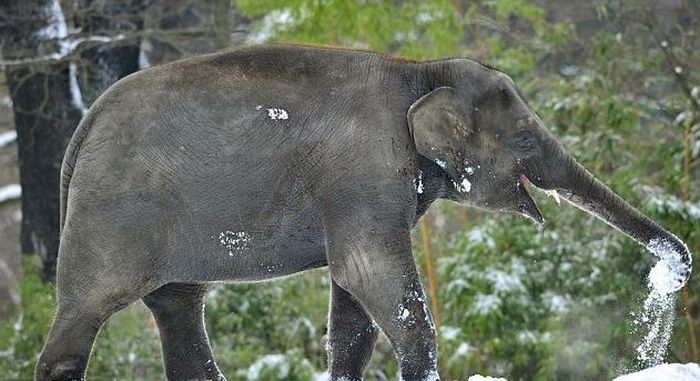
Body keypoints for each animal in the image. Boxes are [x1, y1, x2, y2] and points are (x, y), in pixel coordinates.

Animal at [35, 45, 692, 380]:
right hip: (111, 214)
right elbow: (372, 277)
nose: (676, 271)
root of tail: (82, 128)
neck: (420, 71)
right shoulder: (364, 171)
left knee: (178, 307)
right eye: (527, 140)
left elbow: (352, 307)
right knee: (86, 311)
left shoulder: (359, 187)